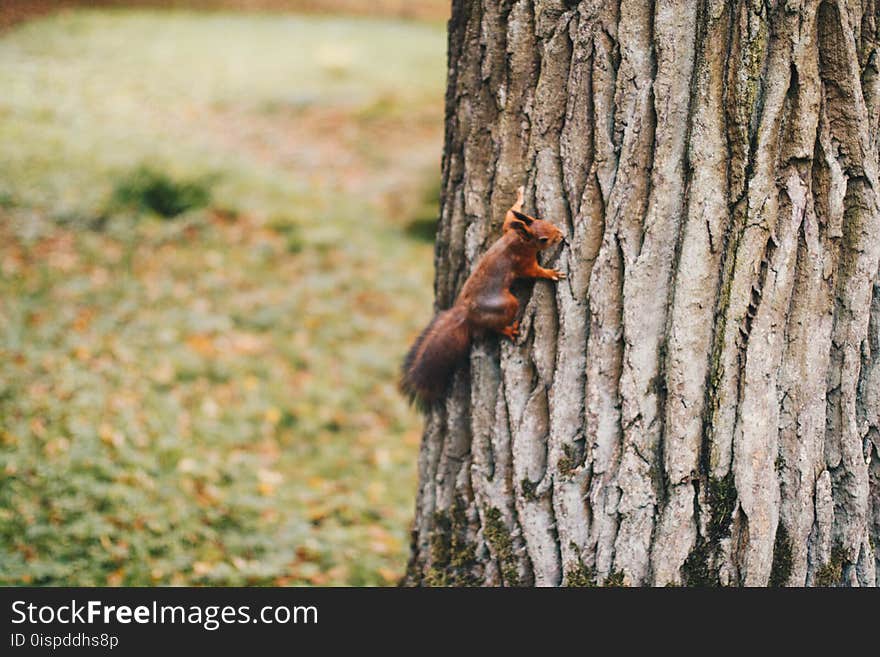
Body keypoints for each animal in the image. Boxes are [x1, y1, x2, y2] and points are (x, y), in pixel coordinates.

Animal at [398, 187, 564, 408]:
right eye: (543, 239)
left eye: (545, 220)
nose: (561, 235)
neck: (518, 240)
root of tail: (465, 313)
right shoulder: (523, 262)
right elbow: (534, 272)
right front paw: (551, 273)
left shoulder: (507, 229)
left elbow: (509, 214)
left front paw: (520, 197)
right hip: (506, 304)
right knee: (495, 325)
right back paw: (509, 330)